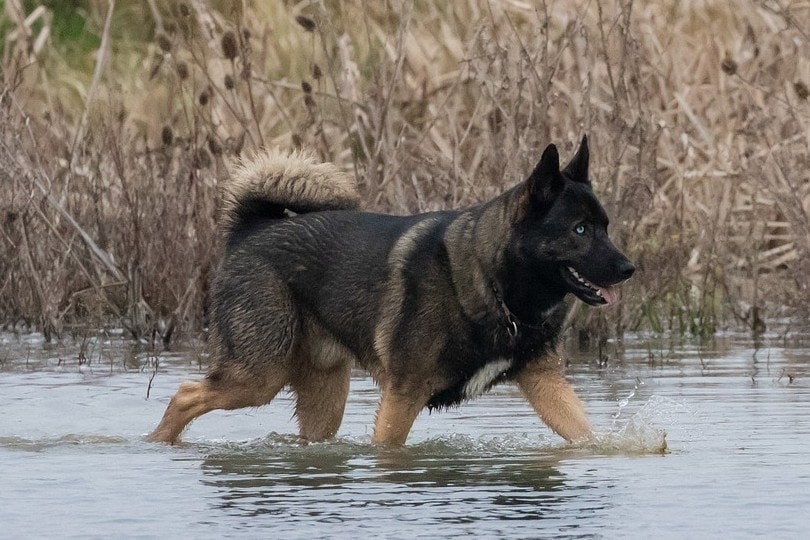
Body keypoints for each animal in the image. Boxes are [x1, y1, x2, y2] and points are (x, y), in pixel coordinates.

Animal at [150, 137, 632, 446]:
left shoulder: (543, 380)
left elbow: (585, 434)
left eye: (605, 226)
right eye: (580, 230)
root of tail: (251, 230)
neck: (493, 280)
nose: (629, 269)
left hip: (324, 396)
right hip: (258, 376)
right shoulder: (403, 396)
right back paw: (156, 444)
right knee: (184, 395)